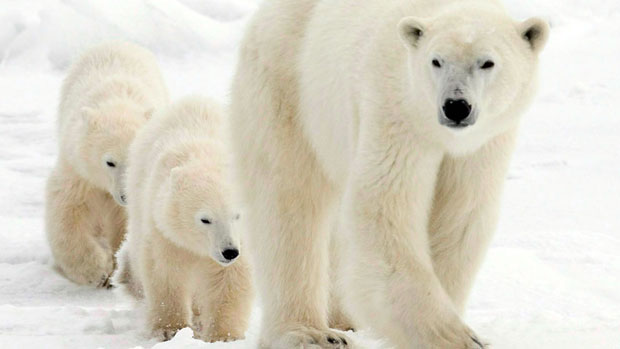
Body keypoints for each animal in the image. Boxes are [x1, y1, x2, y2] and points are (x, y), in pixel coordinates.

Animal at [231, 0, 548, 346]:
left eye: (487, 62)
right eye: (436, 60)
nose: (456, 106)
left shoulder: (483, 144)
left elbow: (460, 217)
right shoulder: (395, 111)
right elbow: (384, 208)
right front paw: (457, 337)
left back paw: (343, 318)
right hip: (290, 87)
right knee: (289, 201)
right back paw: (311, 333)